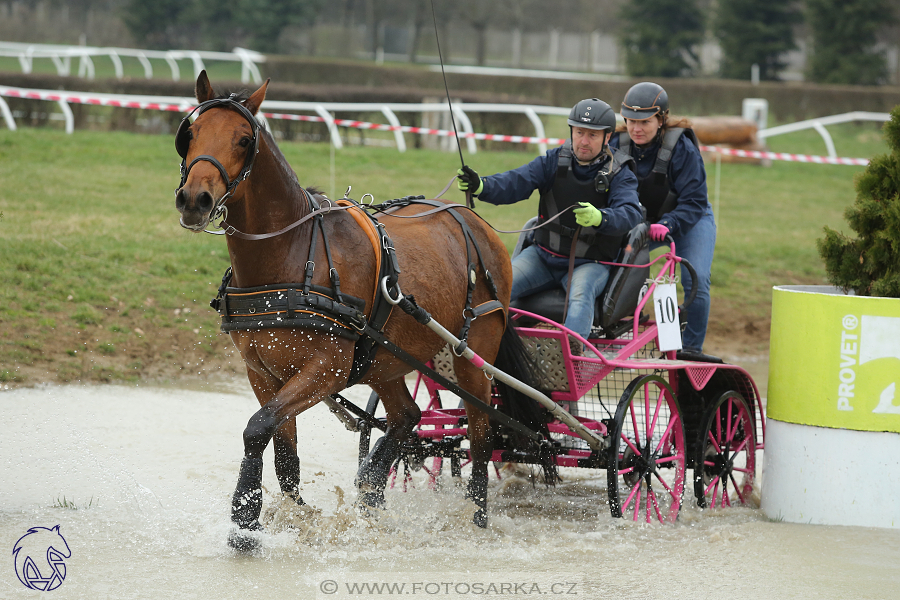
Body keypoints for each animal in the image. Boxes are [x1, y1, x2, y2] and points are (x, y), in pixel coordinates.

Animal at [173, 70, 544, 548]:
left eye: (243, 139)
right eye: (191, 133)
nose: (194, 199)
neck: (291, 253)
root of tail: (473, 220)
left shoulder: (325, 368)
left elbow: (257, 428)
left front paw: (245, 518)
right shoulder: (263, 372)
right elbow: (282, 451)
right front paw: (291, 515)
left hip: (473, 354)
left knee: (481, 432)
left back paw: (476, 516)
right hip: (384, 358)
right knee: (407, 417)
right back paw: (372, 493)